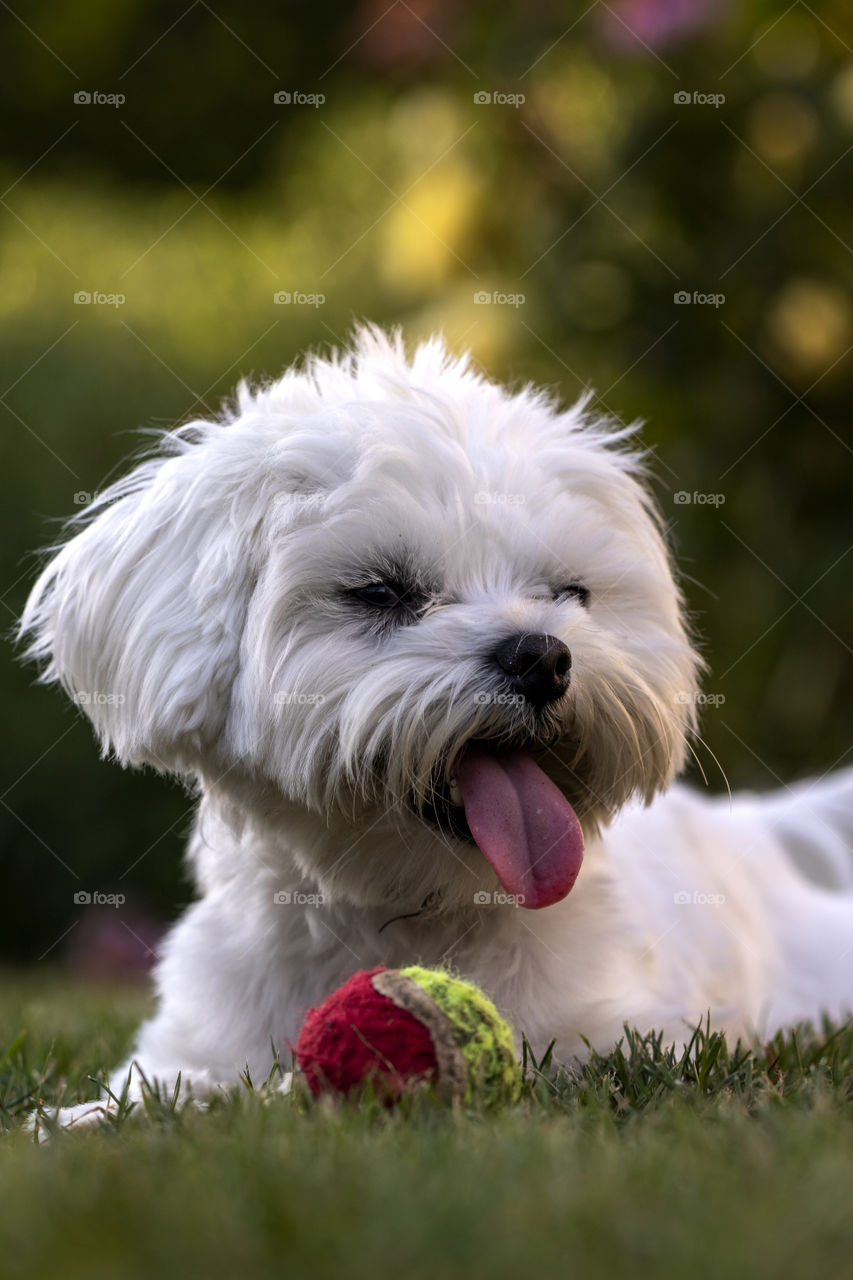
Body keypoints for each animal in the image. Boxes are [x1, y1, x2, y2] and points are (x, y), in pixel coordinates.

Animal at [18, 322, 850, 1131]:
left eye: (569, 593)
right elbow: (169, 1085)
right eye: (380, 591)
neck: (405, 911)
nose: (541, 656)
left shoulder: (611, 1041)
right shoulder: (192, 1040)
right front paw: (83, 1119)